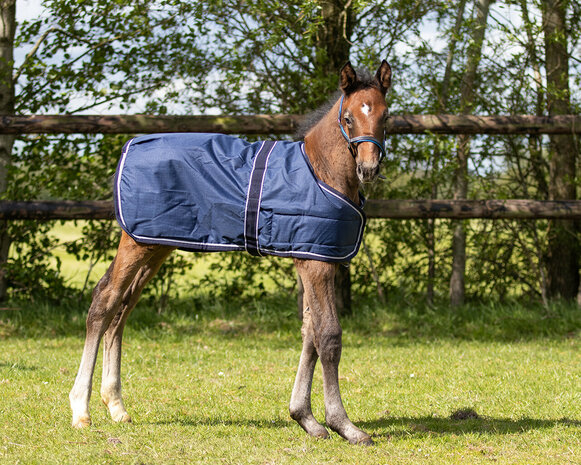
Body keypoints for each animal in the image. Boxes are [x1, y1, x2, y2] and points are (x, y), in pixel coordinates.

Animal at [70, 59, 392, 444]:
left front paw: (306, 418)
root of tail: (130, 145)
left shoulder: (315, 259)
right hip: (136, 243)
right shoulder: (316, 265)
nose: (369, 168)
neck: (320, 172)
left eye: (386, 116)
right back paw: (81, 410)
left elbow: (309, 335)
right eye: (348, 118)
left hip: (155, 244)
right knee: (105, 301)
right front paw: (343, 425)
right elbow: (327, 337)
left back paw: (116, 405)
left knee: (123, 308)